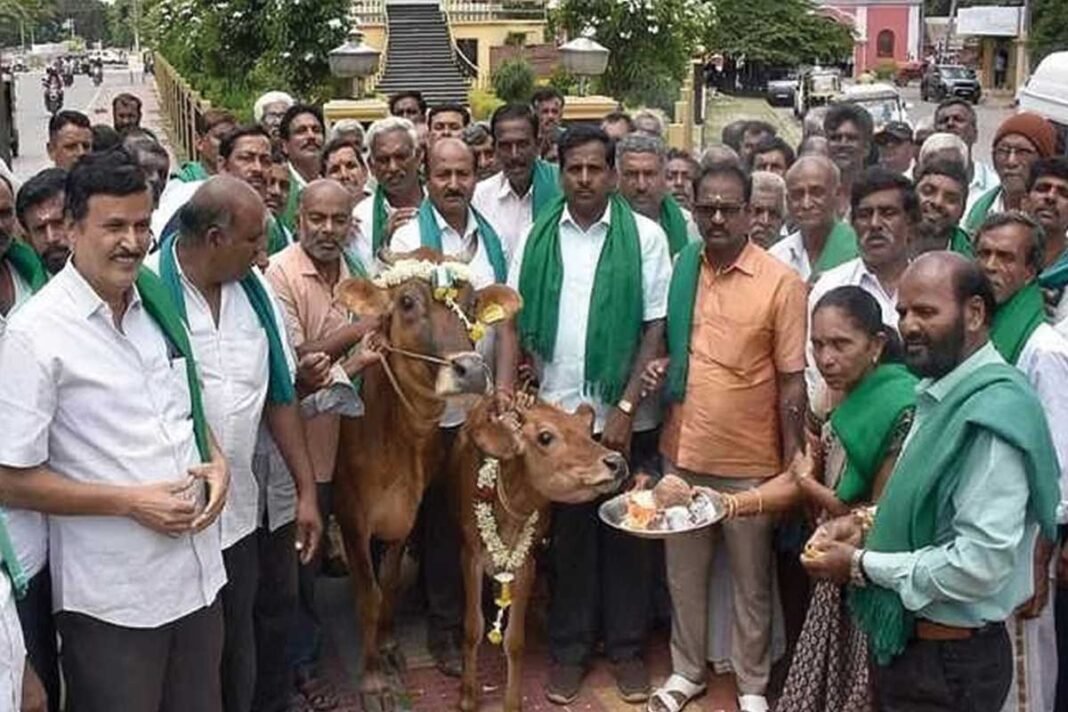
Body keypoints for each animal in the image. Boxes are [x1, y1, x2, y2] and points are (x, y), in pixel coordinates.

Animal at [331, 250, 519, 712]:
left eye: (472, 305)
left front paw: (388, 643)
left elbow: (388, 582)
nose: (471, 371)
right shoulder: (351, 515)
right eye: (407, 303)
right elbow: (368, 595)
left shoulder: (408, 512)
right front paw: (373, 681)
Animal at [448, 399, 623, 708]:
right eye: (545, 437)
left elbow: (515, 641)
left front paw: (512, 703)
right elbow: (472, 628)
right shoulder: (470, 555)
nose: (616, 462)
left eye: (586, 432)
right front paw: (467, 696)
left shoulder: (526, 563)